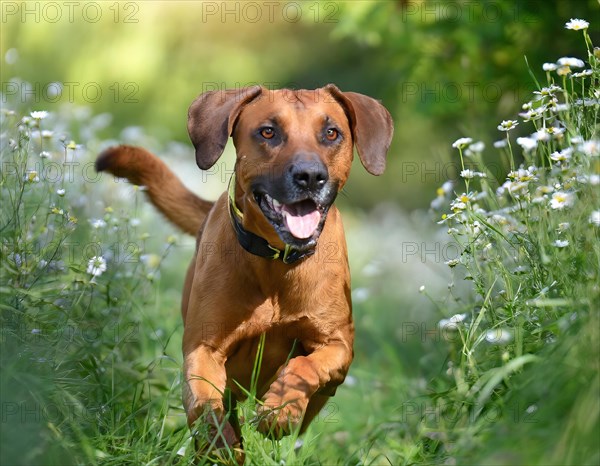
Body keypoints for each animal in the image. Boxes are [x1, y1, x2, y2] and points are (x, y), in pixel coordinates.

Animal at [95, 84, 394, 452]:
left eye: (331, 133)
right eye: (268, 132)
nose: (310, 176)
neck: (276, 263)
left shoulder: (338, 345)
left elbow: (305, 366)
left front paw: (280, 410)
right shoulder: (203, 349)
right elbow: (205, 407)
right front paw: (221, 443)